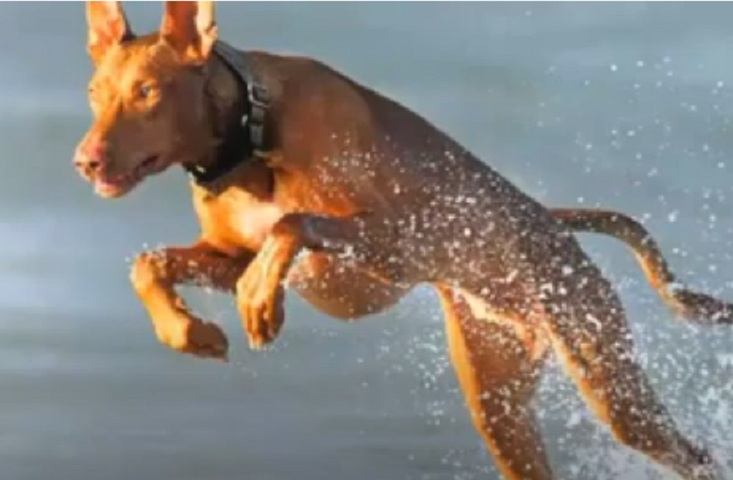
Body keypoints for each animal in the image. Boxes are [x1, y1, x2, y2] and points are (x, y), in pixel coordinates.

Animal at [70, 4, 732, 480]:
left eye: (148, 92)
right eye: (95, 94)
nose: (85, 160)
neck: (250, 135)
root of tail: (553, 224)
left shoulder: (401, 244)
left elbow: (293, 224)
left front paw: (260, 302)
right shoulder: (229, 255)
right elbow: (149, 264)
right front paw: (188, 331)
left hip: (607, 377)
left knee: (695, 457)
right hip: (499, 404)